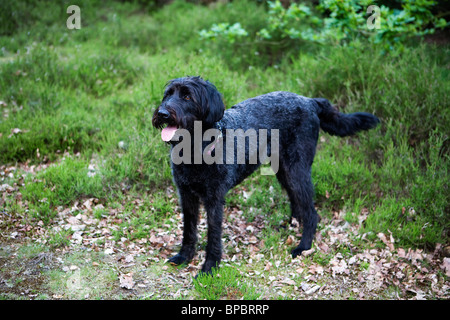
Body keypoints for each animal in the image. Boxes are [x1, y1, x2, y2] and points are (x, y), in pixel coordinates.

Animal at [152, 75, 380, 276]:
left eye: (187, 96)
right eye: (168, 94)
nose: (162, 113)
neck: (196, 147)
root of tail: (310, 101)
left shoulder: (214, 199)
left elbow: (213, 235)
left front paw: (210, 266)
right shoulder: (186, 195)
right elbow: (189, 230)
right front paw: (184, 256)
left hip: (297, 170)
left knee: (312, 213)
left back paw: (303, 246)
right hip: (285, 170)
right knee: (297, 201)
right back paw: (291, 225)